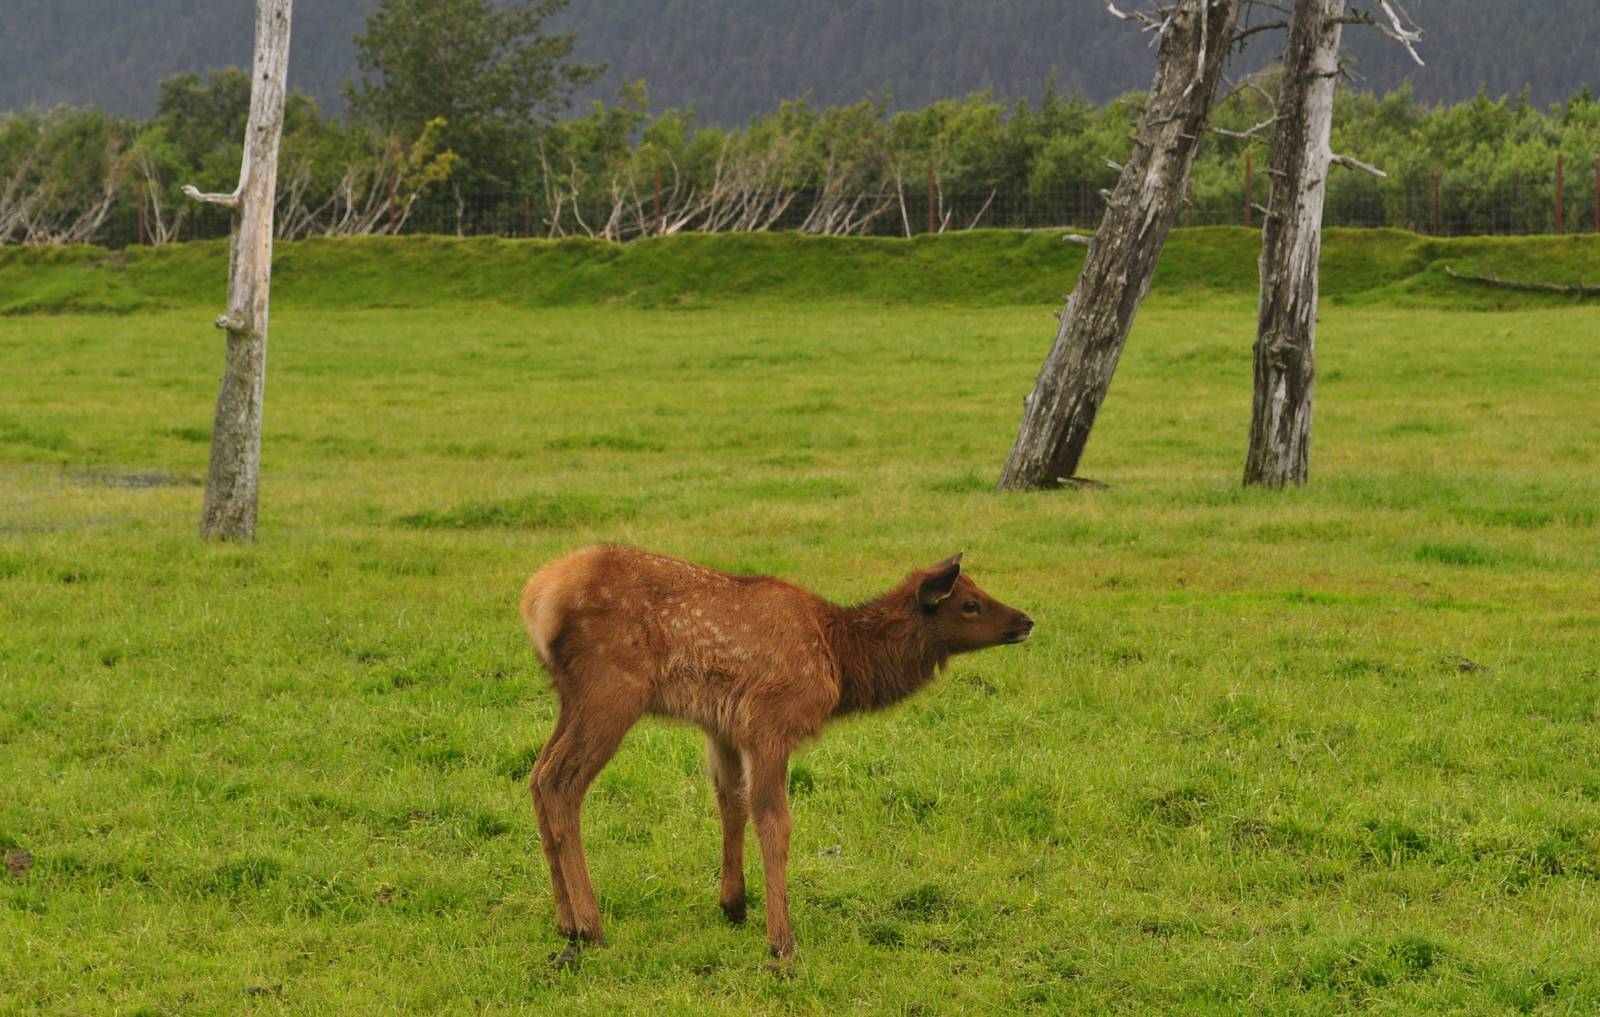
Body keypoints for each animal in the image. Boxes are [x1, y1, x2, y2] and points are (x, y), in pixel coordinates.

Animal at [519, 544, 1034, 966]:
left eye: (979, 591)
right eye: (970, 604)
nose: (1026, 620)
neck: (841, 662)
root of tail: (536, 599)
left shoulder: (723, 726)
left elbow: (731, 803)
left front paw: (734, 904)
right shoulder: (770, 721)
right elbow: (775, 820)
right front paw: (781, 941)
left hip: (570, 697)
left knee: (537, 774)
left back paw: (565, 922)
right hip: (612, 689)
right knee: (561, 781)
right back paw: (592, 927)